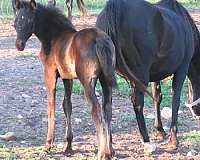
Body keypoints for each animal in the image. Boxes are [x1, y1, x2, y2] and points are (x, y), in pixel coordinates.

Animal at [12, 0, 115, 159]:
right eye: (16, 22)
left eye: (30, 20)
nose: (19, 45)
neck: (54, 37)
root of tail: (99, 39)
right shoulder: (68, 77)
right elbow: (67, 106)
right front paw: (68, 145)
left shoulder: (50, 73)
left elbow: (51, 106)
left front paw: (48, 144)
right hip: (106, 80)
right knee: (107, 109)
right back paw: (110, 150)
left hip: (88, 83)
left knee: (97, 112)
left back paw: (102, 152)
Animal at [97, 0, 195, 151]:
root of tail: (117, 7)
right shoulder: (182, 68)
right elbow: (175, 98)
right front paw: (173, 138)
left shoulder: (157, 73)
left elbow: (157, 97)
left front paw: (160, 130)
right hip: (140, 75)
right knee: (137, 104)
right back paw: (146, 140)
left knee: (107, 105)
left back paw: (109, 143)